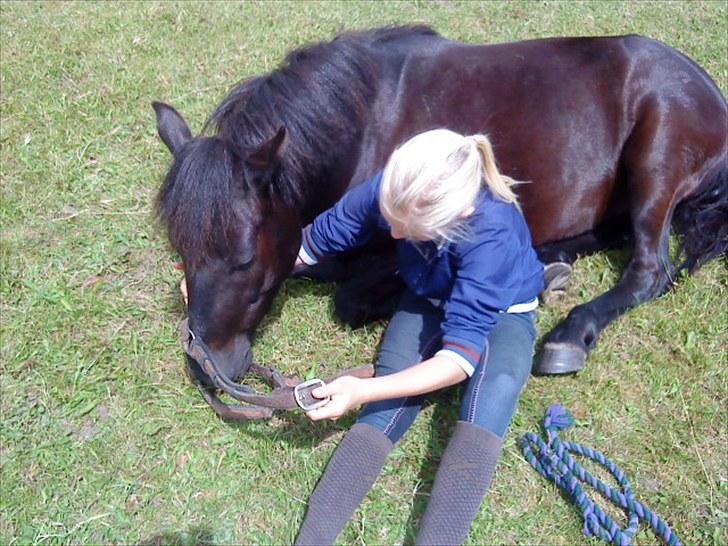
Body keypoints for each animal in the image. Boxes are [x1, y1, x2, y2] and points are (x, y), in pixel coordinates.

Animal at [152, 25, 724, 416]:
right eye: (180, 249)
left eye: (245, 256)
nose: (207, 367)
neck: (364, 124)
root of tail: (705, 85)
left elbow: (348, 296)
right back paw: (551, 264)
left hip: (655, 161)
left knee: (648, 270)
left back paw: (568, 332)